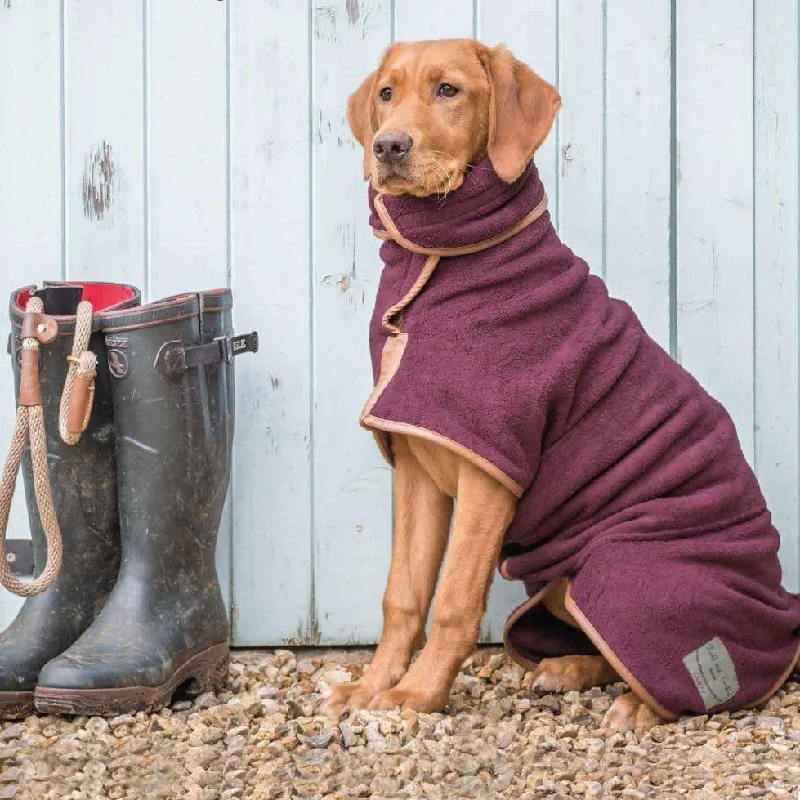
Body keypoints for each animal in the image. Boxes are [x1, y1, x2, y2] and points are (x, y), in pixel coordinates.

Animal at [324, 40, 800, 736]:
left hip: (625, 571)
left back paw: (638, 703)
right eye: (386, 93)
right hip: (565, 582)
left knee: (699, 682)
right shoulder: (415, 465)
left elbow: (453, 600)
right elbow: (403, 594)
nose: (387, 146)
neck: (436, 267)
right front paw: (371, 686)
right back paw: (570, 668)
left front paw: (418, 697)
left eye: (448, 89)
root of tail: (787, 612)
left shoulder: (491, 472)